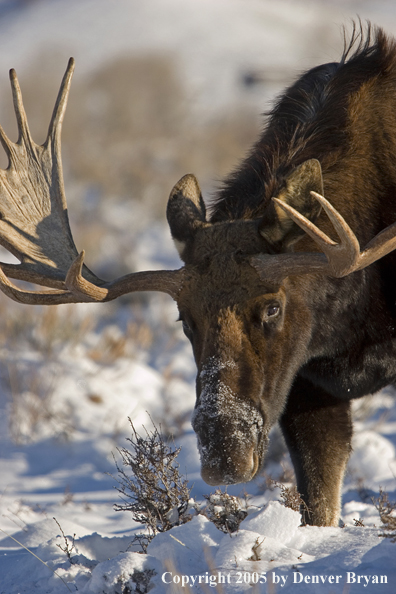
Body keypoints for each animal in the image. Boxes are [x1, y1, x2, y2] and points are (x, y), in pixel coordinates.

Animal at [0, 23, 396, 524]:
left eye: (272, 307)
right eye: (184, 319)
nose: (225, 456)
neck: (353, 312)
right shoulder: (307, 384)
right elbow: (319, 504)